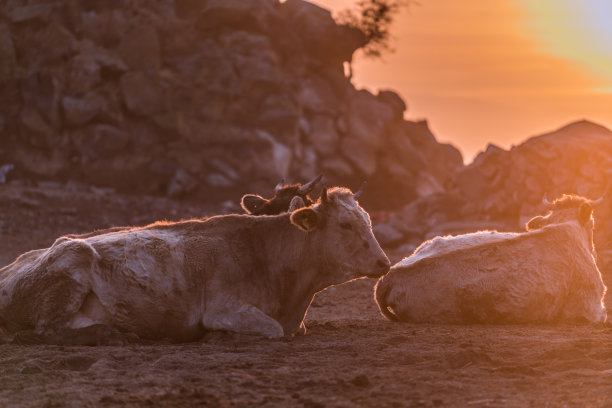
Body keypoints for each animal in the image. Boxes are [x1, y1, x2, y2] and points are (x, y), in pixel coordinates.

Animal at [0, 187, 390, 344]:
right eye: (345, 224)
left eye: (368, 220)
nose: (384, 262)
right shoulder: (223, 308)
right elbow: (273, 330)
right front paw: (219, 336)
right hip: (74, 257)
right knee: (44, 332)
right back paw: (110, 334)